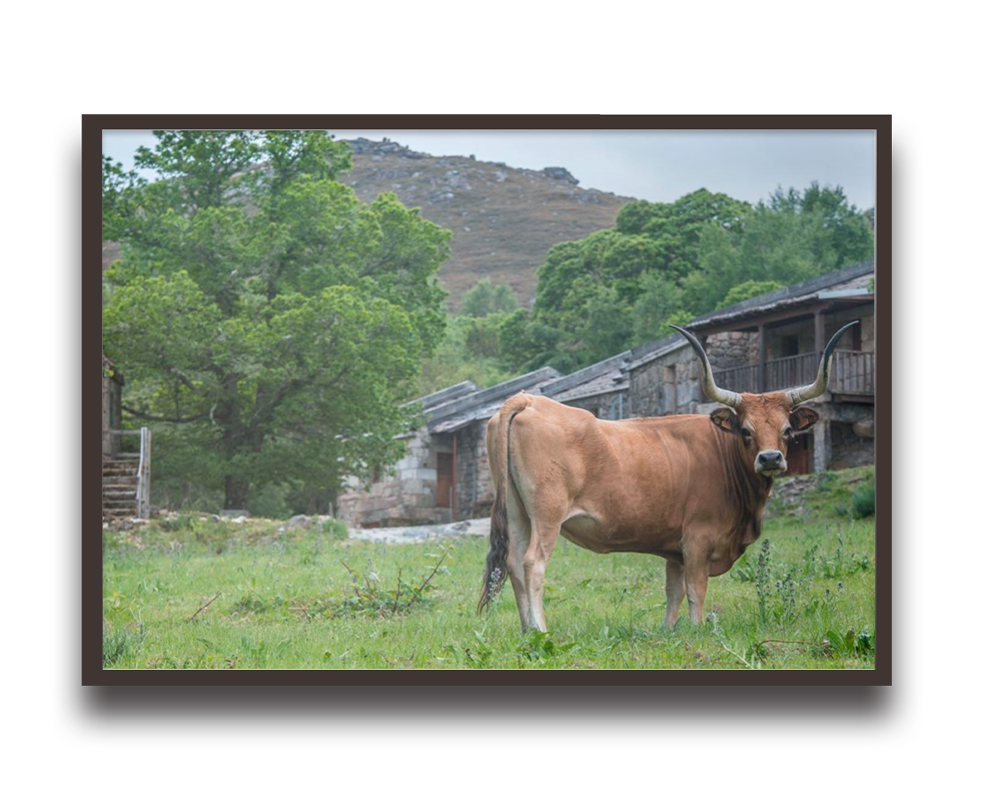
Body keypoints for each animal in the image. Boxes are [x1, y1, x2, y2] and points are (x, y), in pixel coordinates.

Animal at [478, 321, 859, 633]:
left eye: (786, 430)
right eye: (746, 430)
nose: (769, 458)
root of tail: (527, 401)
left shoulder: (674, 549)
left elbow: (673, 591)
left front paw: (668, 631)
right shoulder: (698, 539)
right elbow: (695, 589)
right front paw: (697, 628)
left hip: (517, 512)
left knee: (511, 564)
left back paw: (526, 629)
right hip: (547, 513)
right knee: (532, 563)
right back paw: (540, 630)